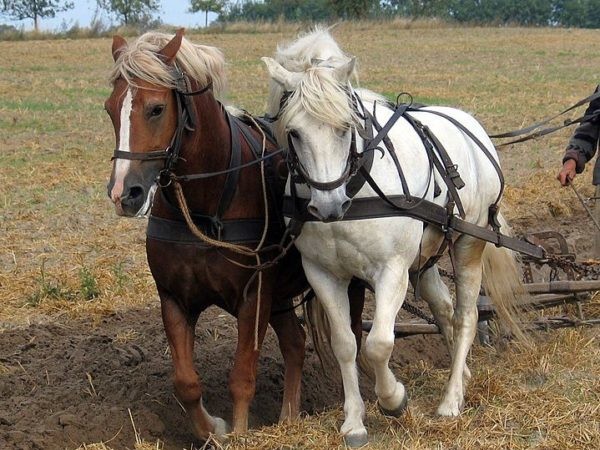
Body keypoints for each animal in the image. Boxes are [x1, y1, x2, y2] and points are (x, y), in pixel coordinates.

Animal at [104, 29, 366, 442]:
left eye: (156, 108)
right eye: (110, 108)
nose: (123, 194)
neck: (206, 204)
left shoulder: (253, 296)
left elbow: (242, 376)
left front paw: (240, 433)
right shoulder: (174, 298)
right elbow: (186, 383)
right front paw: (214, 428)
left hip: (345, 283)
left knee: (351, 338)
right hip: (280, 296)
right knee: (296, 343)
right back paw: (289, 418)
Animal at [262, 28, 524, 446]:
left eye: (345, 127)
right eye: (294, 132)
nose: (329, 205)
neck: (355, 188)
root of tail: (471, 125)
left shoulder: (392, 270)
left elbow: (379, 344)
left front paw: (394, 400)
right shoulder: (322, 273)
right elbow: (346, 344)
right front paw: (354, 421)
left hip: (469, 243)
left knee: (466, 315)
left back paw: (451, 400)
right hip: (426, 257)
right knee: (444, 309)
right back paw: (462, 375)